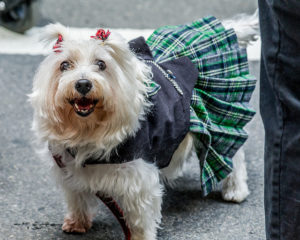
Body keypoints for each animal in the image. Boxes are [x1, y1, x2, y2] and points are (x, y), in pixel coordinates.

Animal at [29, 12, 258, 240]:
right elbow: (77, 198)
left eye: (101, 64)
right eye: (64, 65)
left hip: (218, 119)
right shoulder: (70, 170)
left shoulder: (137, 180)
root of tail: (223, 28)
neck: (87, 130)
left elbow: (140, 218)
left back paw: (235, 190)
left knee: (232, 153)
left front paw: (139, 236)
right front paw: (77, 222)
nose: (83, 84)